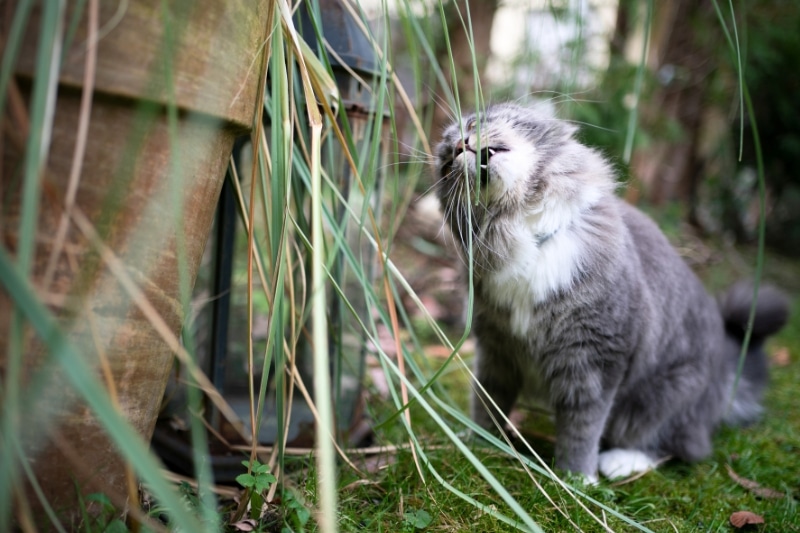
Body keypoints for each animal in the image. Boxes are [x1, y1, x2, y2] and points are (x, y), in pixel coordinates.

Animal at [432, 102, 788, 480]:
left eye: (475, 124)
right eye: (446, 166)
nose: (460, 146)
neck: (525, 237)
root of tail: (725, 371)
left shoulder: (595, 359)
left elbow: (582, 427)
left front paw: (577, 477)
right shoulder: (496, 350)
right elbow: (487, 402)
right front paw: (479, 445)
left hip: (660, 400)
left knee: (680, 446)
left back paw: (620, 462)